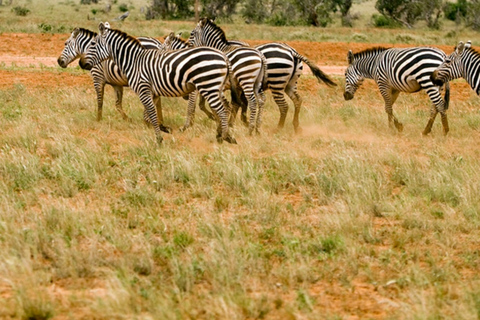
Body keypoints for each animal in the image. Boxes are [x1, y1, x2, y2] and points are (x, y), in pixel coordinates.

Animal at [82, 23, 236, 146]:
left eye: (93, 44)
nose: (81, 63)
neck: (134, 62)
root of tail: (223, 56)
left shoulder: (143, 90)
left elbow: (151, 113)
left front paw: (159, 139)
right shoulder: (153, 93)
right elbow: (148, 115)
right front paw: (163, 129)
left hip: (208, 86)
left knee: (222, 110)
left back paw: (224, 137)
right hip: (216, 87)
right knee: (225, 107)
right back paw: (223, 134)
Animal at [188, 18, 338, 133]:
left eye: (192, 33)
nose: (188, 48)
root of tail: (292, 51)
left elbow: (232, 103)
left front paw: (233, 122)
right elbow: (237, 103)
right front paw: (239, 121)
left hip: (277, 83)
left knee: (284, 106)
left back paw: (278, 128)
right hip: (290, 83)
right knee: (298, 100)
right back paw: (296, 127)